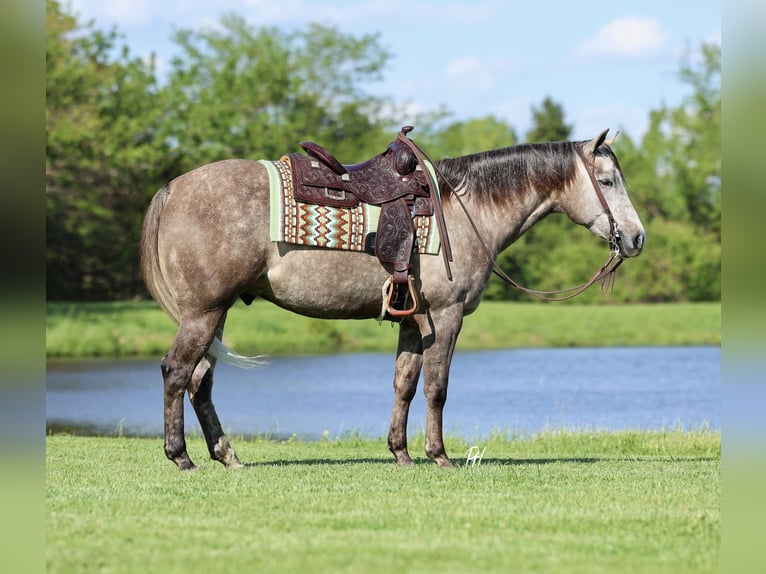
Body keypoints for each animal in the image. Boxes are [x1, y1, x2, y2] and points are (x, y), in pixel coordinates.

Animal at [140, 128, 645, 470]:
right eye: (607, 181)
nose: (637, 238)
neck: (468, 210)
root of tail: (173, 188)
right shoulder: (446, 315)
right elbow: (437, 387)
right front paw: (439, 455)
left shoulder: (413, 320)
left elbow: (404, 382)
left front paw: (401, 452)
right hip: (204, 314)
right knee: (176, 372)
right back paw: (181, 456)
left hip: (216, 315)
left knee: (200, 381)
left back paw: (227, 455)